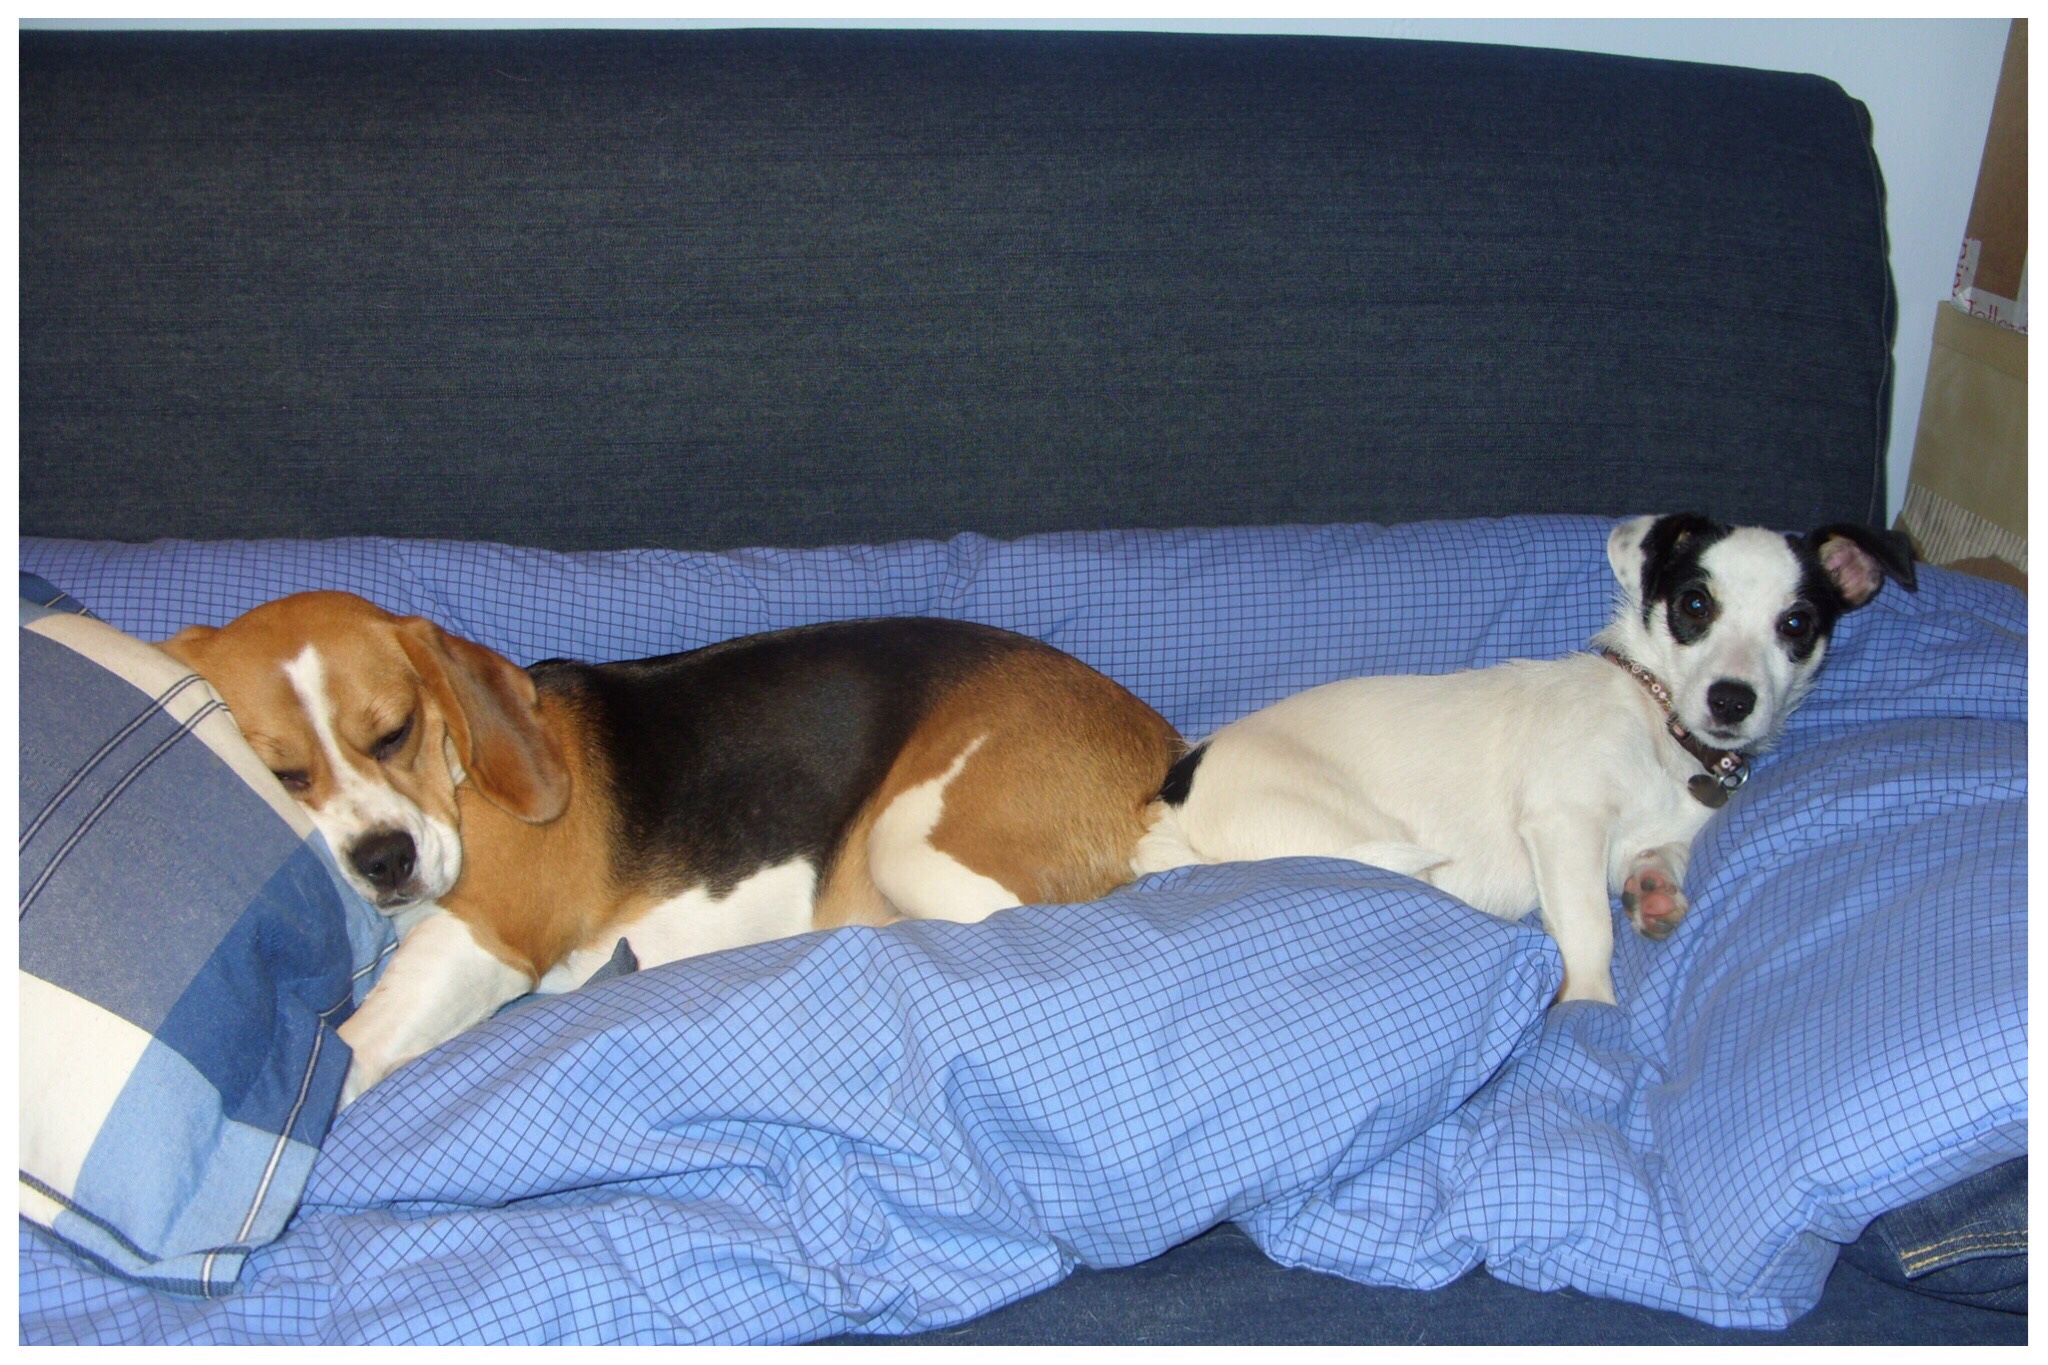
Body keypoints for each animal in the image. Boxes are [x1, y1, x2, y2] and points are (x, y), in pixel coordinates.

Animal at [1138, 511, 1916, 1002]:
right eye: (1695, 604)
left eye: (1797, 624)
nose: (1731, 699)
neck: (1658, 722)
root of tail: (1178, 791)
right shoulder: (1564, 822)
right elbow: (1590, 932)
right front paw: (1591, 1004)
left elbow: (1659, 856)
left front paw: (1653, 889)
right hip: (1348, 834)